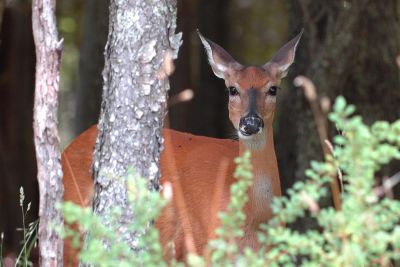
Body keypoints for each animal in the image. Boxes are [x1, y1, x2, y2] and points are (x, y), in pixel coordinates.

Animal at [61, 29, 302, 266]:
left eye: (273, 89)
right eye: (232, 89)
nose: (250, 123)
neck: (254, 219)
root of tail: (66, 150)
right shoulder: (202, 250)